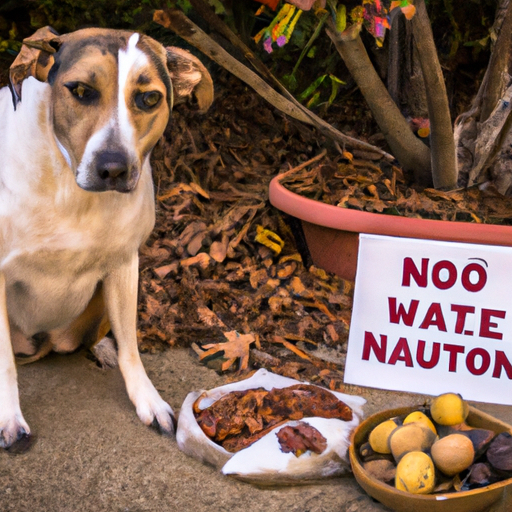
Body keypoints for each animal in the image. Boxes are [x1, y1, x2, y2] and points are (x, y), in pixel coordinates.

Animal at [0, 26, 213, 450]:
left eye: (149, 98)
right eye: (81, 90)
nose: (113, 168)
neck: (70, 188)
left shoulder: (124, 265)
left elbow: (131, 344)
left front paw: (148, 399)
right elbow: (3, 364)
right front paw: (9, 419)